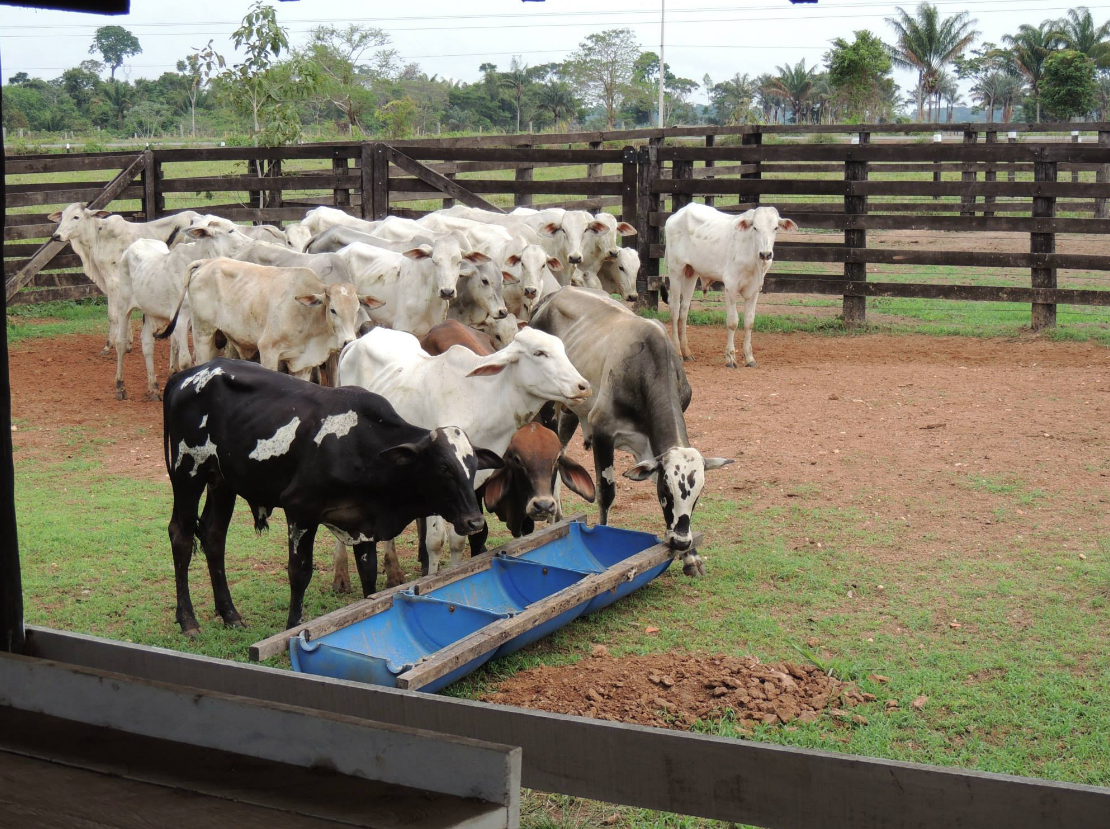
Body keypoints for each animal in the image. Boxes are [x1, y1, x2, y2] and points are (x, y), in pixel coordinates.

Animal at [47, 205, 203, 357]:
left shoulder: (112, 281)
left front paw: (108, 345)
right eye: (62, 217)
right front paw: (127, 344)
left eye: (76, 217)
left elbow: (113, 315)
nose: (56, 236)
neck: (97, 237)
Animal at [117, 220, 255, 401]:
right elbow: (185, 360)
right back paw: (120, 387)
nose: (252, 242)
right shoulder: (181, 320)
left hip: (151, 313)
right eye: (231, 230)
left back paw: (153, 388)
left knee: (147, 344)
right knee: (120, 343)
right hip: (122, 305)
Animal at [162, 357, 501, 634]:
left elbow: (369, 575)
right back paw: (188, 621)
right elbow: (300, 572)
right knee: (181, 536)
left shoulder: (364, 525)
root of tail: (186, 375)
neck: (360, 446)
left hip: (222, 483)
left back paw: (230, 615)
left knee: (213, 537)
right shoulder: (300, 511)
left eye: (473, 466)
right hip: (187, 474)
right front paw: (292, 627)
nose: (474, 522)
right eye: (443, 467)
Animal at [335, 328, 590, 585]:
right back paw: (343, 576)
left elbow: (458, 539)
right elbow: (436, 541)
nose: (583, 386)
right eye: (539, 353)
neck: (482, 401)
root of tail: (360, 340)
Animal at [661, 203, 794, 368]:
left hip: (691, 273)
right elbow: (733, 322)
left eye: (775, 228)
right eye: (755, 227)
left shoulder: (755, 290)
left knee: (684, 310)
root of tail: (676, 215)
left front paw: (750, 358)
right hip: (676, 270)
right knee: (674, 309)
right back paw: (678, 353)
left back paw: (687, 353)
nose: (765, 254)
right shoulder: (730, 286)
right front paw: (730, 358)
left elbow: (749, 322)